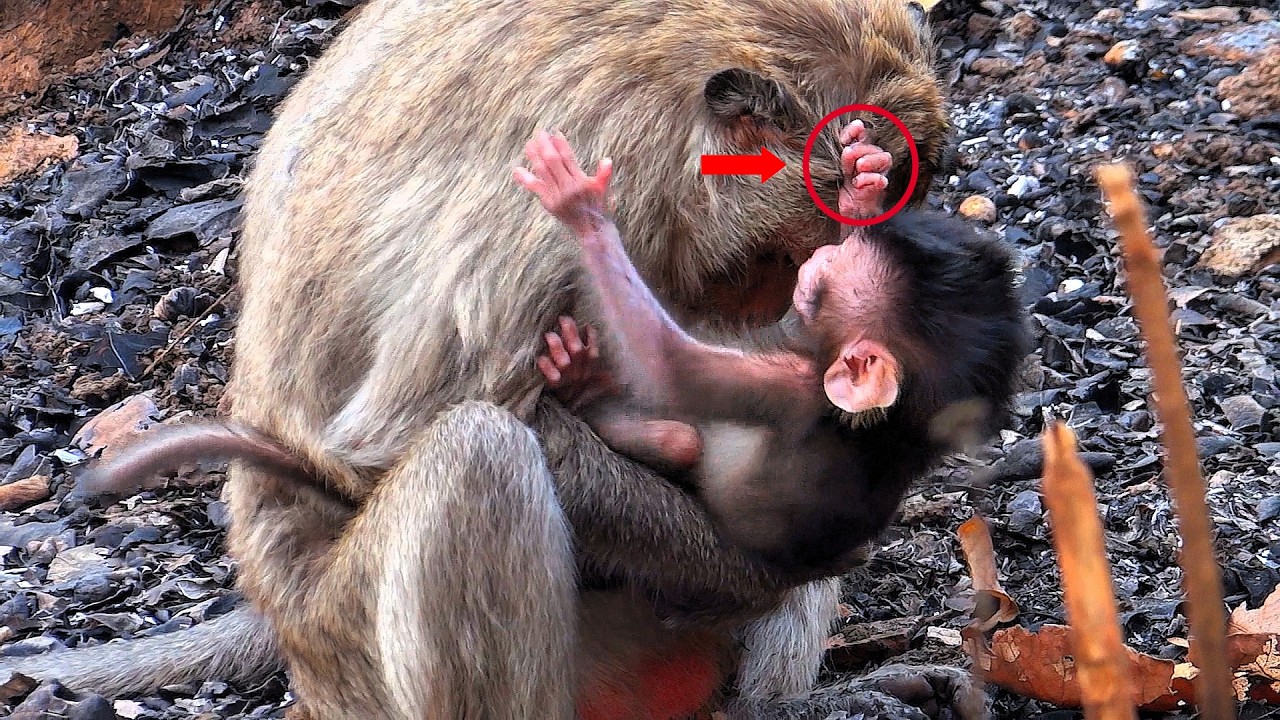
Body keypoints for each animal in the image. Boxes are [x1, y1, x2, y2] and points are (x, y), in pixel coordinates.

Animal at [518, 126, 1025, 574]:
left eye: (831, 273)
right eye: (837, 256)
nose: (821, 257)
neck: (896, 430)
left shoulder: (793, 389)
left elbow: (669, 365)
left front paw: (584, 209)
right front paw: (863, 182)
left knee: (680, 438)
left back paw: (583, 387)